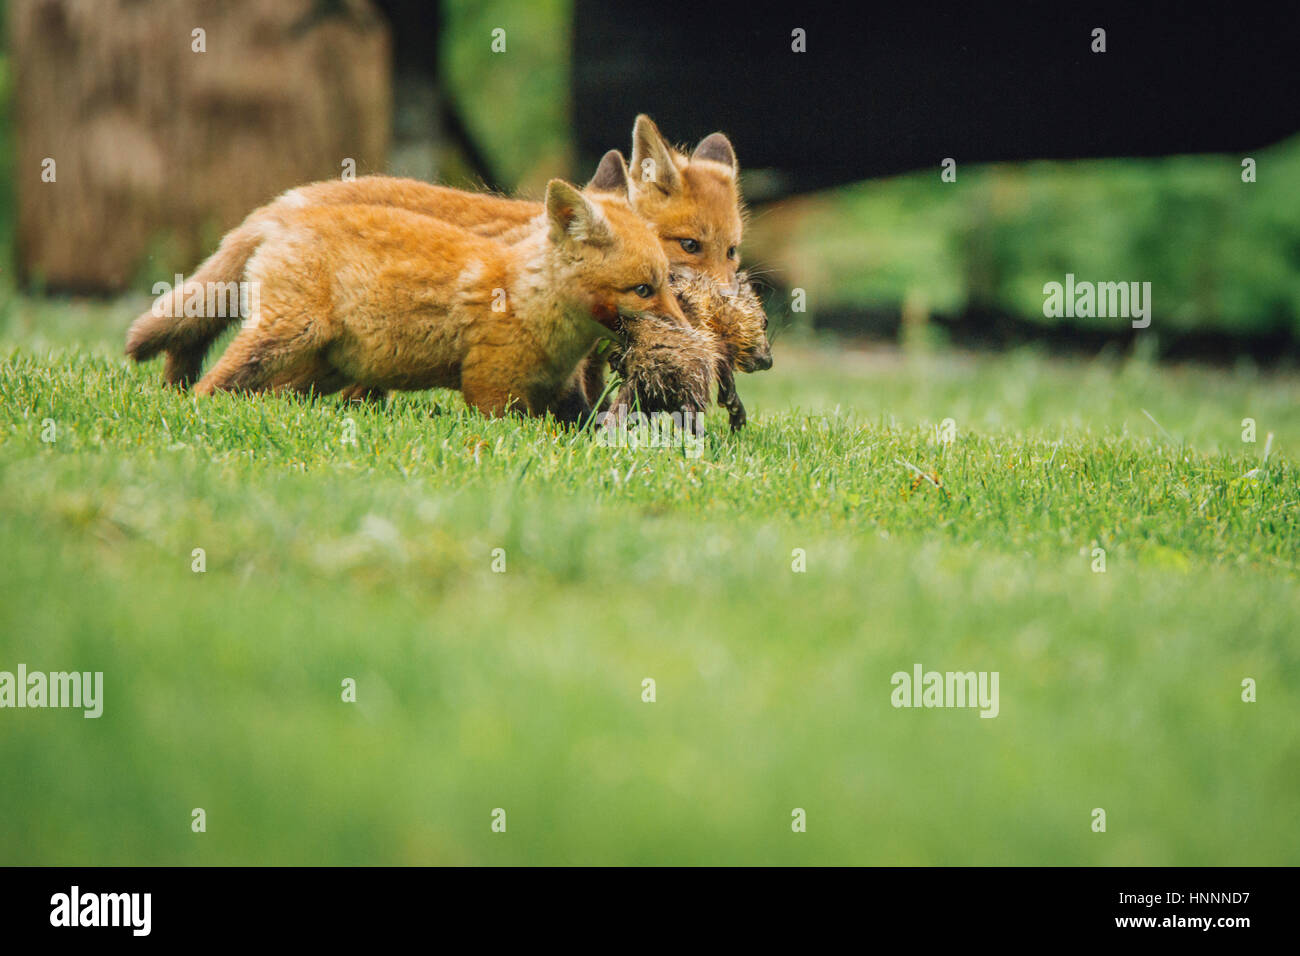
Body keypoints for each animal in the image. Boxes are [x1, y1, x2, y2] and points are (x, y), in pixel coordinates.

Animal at [189, 175, 691, 421]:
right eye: (643, 290)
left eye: (667, 283)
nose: (689, 334)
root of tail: (283, 217)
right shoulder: (490, 393)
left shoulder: (559, 391)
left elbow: (585, 426)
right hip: (285, 339)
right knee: (206, 386)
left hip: (320, 370)